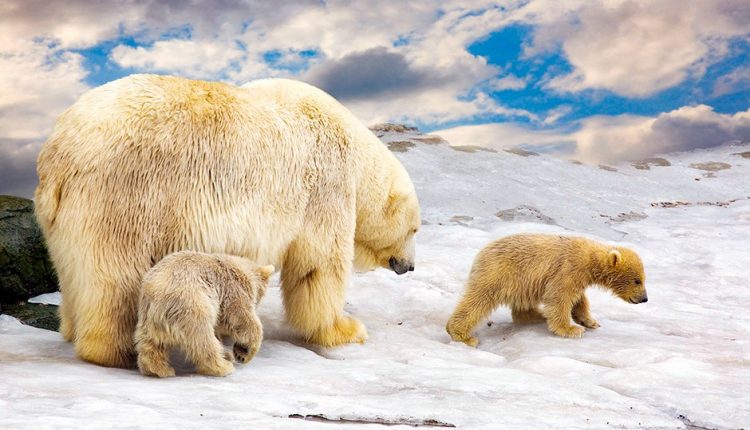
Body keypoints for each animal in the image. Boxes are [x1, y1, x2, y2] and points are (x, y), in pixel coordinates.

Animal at [135, 251, 273, 378]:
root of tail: (156, 293)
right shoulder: (232, 290)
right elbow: (241, 319)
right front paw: (244, 353)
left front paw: (235, 352)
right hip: (191, 306)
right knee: (203, 339)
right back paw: (222, 366)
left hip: (149, 318)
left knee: (151, 343)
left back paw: (157, 368)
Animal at [446, 233, 647, 347]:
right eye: (637, 280)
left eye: (643, 279)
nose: (644, 299)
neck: (590, 257)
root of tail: (480, 255)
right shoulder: (568, 268)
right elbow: (560, 297)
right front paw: (571, 330)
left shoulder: (578, 277)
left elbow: (579, 299)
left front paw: (590, 321)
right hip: (499, 274)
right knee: (478, 300)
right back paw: (462, 335)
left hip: (520, 283)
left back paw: (537, 315)